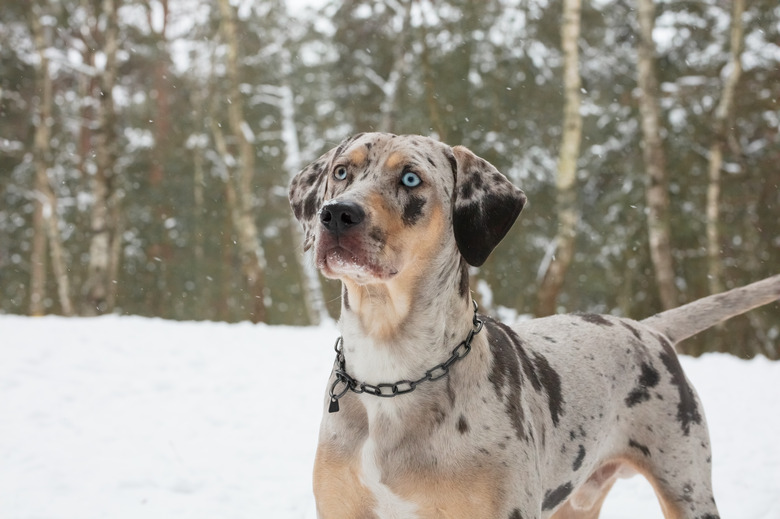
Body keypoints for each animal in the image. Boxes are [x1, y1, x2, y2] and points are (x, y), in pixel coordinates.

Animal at [288, 133, 780, 519]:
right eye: (341, 172)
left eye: (411, 178)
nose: (336, 213)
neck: (391, 371)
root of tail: (648, 330)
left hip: (686, 484)